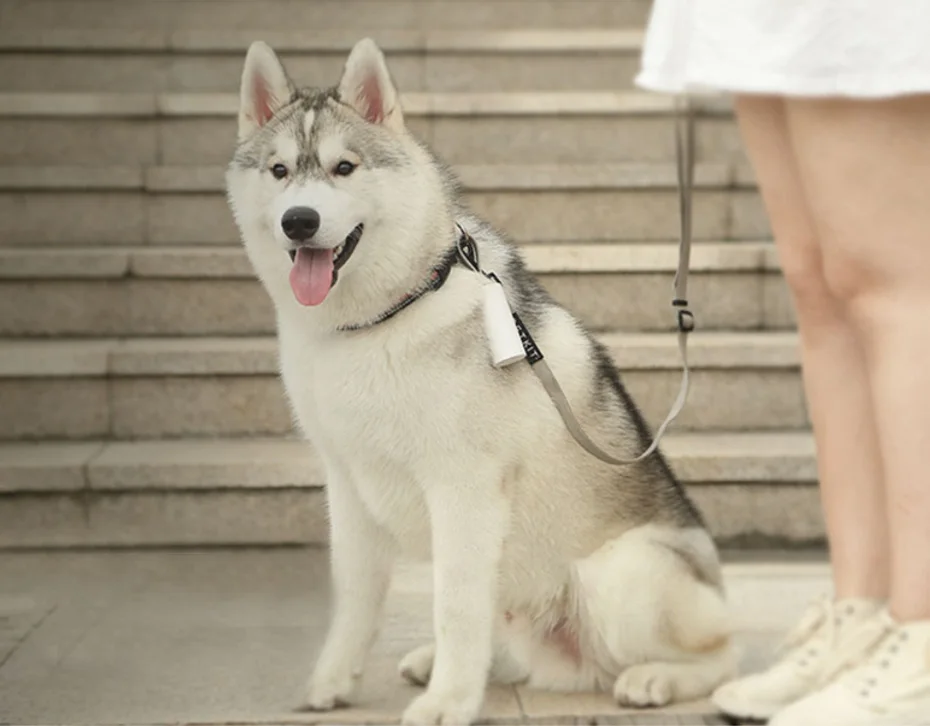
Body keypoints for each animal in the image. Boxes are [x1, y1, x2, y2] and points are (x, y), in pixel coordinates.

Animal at [226, 37, 737, 726]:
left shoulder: (462, 489)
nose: (299, 222)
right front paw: (331, 682)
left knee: (725, 652)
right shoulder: (348, 485)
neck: (382, 316)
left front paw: (449, 703)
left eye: (344, 168)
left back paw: (657, 679)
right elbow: (356, 599)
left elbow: (455, 607)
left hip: (623, 575)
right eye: (279, 172)